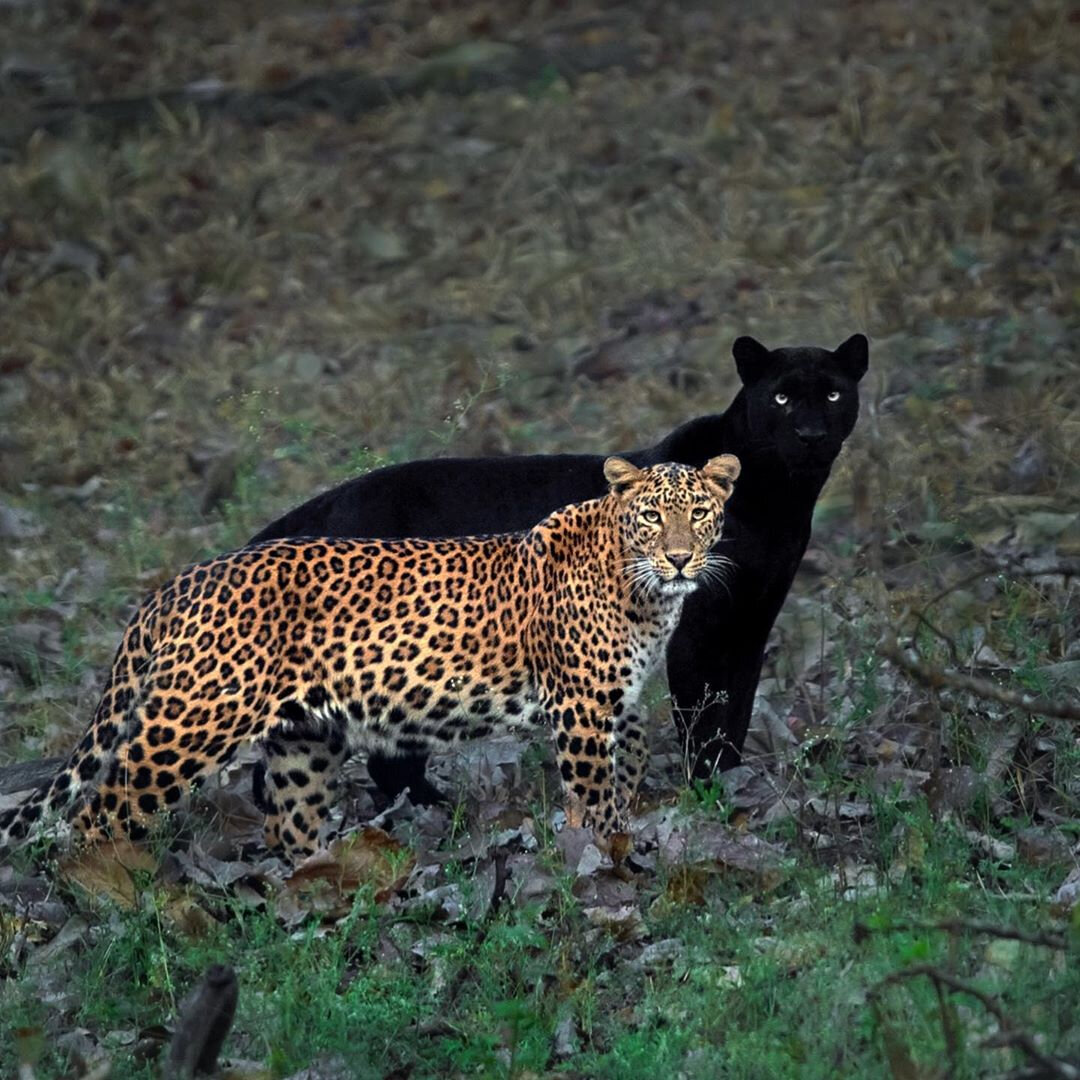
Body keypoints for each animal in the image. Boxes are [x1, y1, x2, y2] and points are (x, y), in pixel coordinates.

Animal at [0, 455, 738, 859]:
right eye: (651, 516)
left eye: (700, 513)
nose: (680, 558)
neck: (644, 591)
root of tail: (174, 585)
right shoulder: (582, 708)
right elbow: (595, 795)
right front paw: (608, 859)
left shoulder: (619, 703)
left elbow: (624, 773)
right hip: (191, 724)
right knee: (96, 813)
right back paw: (111, 893)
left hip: (304, 737)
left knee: (289, 825)